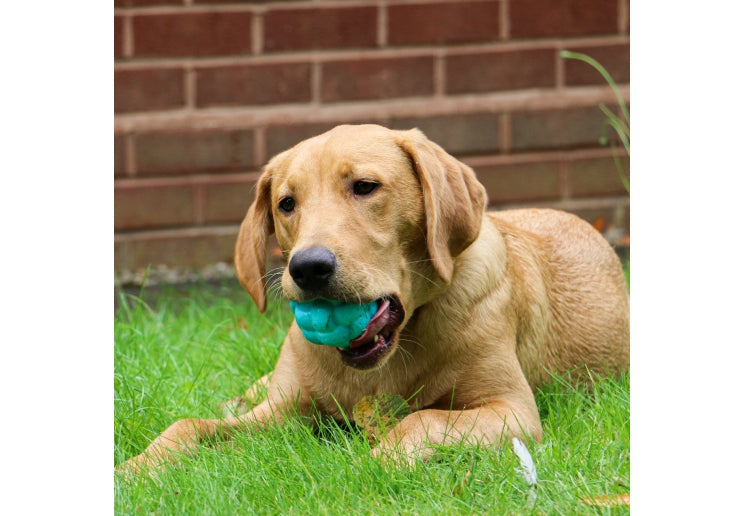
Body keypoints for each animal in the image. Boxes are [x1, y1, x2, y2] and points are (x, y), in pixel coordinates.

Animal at [119, 124, 632, 472]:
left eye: (365, 187)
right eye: (286, 203)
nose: (308, 267)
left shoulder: (511, 410)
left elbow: (423, 420)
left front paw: (371, 465)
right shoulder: (284, 411)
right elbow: (188, 426)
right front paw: (135, 470)